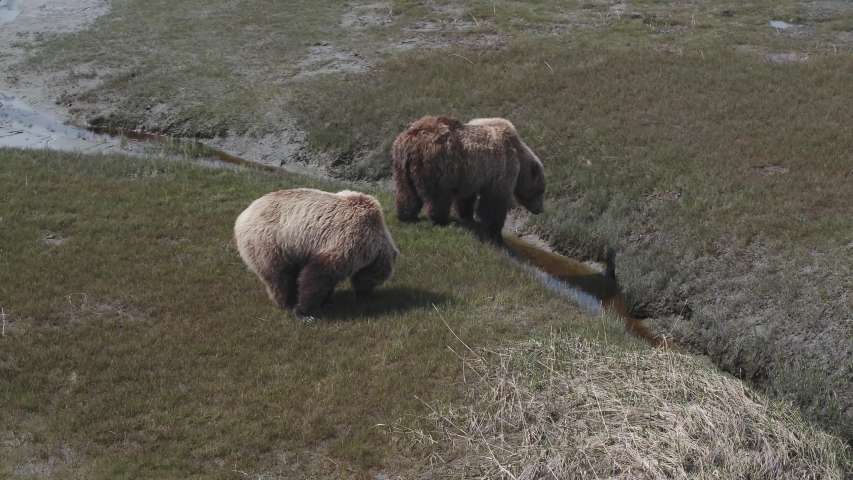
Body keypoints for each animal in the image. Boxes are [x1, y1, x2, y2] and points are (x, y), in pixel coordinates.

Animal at [234, 188, 399, 320]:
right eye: (374, 281)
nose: (364, 295)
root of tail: (242, 216)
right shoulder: (349, 240)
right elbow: (320, 274)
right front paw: (304, 312)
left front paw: (328, 301)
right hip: (270, 242)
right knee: (280, 276)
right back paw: (287, 301)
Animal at [392, 115, 546, 244]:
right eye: (541, 191)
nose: (541, 210)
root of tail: (410, 140)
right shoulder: (502, 169)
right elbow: (495, 202)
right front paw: (495, 233)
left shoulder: (471, 175)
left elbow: (466, 198)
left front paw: (467, 216)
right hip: (437, 165)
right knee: (438, 196)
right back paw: (440, 219)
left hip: (402, 166)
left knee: (407, 193)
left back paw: (405, 215)